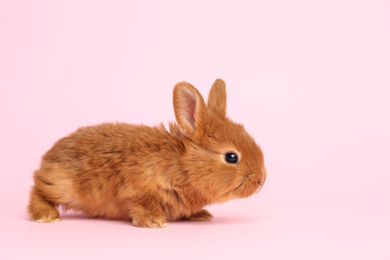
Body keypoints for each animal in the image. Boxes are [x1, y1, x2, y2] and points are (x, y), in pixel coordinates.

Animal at [27, 78, 266, 228]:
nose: (261, 180)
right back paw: (46, 215)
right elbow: (140, 205)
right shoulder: (138, 191)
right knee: (37, 190)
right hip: (62, 186)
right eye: (231, 157)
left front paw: (200, 215)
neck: (181, 164)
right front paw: (154, 222)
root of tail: (48, 158)